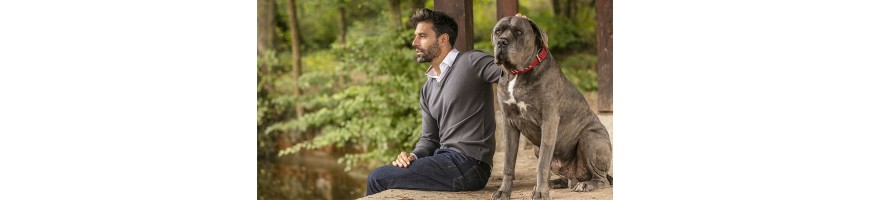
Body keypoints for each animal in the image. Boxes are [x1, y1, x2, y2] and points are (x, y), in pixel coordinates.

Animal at [490, 14, 612, 200]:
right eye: (498, 31)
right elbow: (508, 163)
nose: (502, 42)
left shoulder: (548, 122)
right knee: (567, 179)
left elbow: (542, 165)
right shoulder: (509, 123)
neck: (517, 74)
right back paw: (554, 183)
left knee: (601, 179)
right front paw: (504, 191)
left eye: (519, 32)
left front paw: (541, 193)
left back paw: (585, 185)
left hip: (590, 138)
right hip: (537, 147)